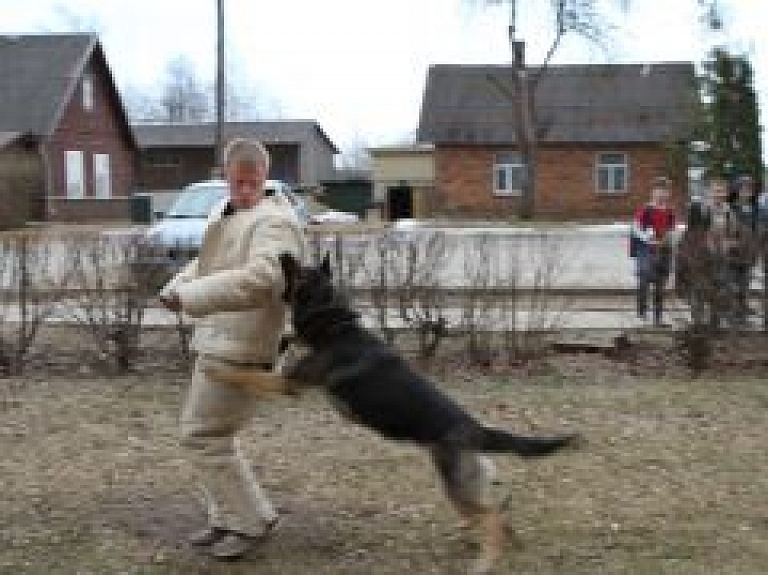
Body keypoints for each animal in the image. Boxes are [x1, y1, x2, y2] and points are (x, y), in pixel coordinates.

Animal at [270, 254, 584, 572]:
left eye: (301, 269)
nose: (284, 253)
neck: (336, 328)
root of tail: (477, 429)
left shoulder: (289, 383)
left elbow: (258, 375)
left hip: (457, 490)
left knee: (492, 519)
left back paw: (484, 562)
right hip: (467, 486)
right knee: (499, 516)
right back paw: (504, 546)